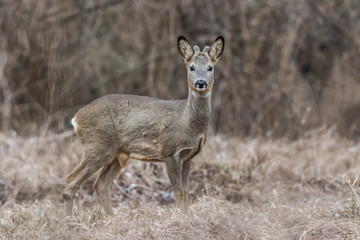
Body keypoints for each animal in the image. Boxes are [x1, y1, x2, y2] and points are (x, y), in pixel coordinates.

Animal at [63, 36, 224, 218]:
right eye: (192, 67)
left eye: (210, 67)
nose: (200, 83)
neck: (187, 122)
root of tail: (76, 118)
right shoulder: (170, 151)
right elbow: (178, 192)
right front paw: (181, 218)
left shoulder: (188, 156)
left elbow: (185, 191)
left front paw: (187, 217)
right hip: (97, 146)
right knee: (71, 180)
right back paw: (69, 220)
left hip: (117, 155)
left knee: (100, 185)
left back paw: (112, 219)